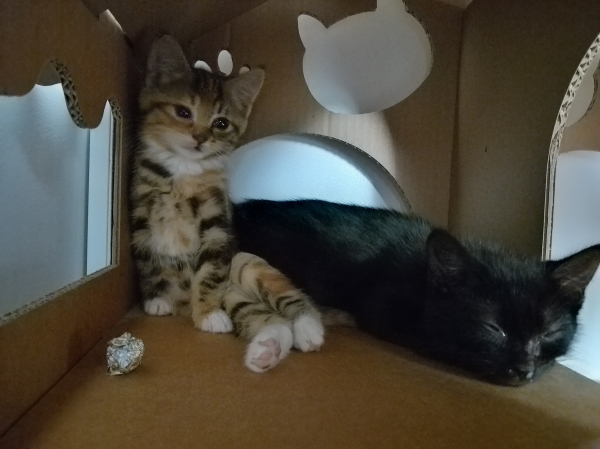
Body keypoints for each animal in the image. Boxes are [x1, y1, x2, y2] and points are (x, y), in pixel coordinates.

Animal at [132, 36, 264, 332]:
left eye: (221, 123)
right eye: (183, 111)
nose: (200, 137)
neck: (183, 170)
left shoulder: (216, 216)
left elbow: (212, 267)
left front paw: (208, 313)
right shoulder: (141, 211)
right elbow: (147, 257)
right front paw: (157, 299)